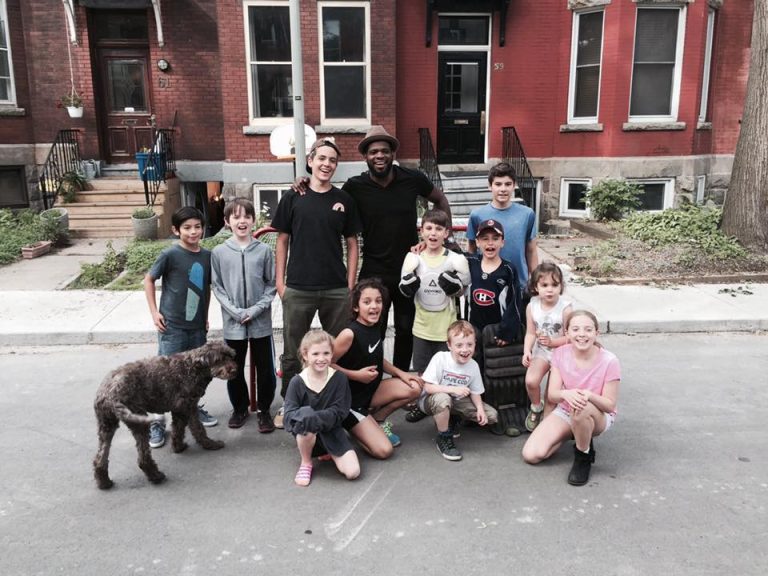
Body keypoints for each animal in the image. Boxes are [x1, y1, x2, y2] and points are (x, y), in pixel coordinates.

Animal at [91, 342, 234, 490]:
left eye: (230, 356)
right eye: (218, 359)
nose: (234, 370)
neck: (193, 367)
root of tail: (111, 393)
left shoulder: (179, 410)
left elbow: (178, 429)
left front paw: (178, 447)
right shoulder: (189, 407)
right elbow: (198, 429)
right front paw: (210, 444)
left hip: (106, 425)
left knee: (100, 458)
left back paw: (104, 482)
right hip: (139, 423)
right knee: (142, 458)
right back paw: (156, 476)